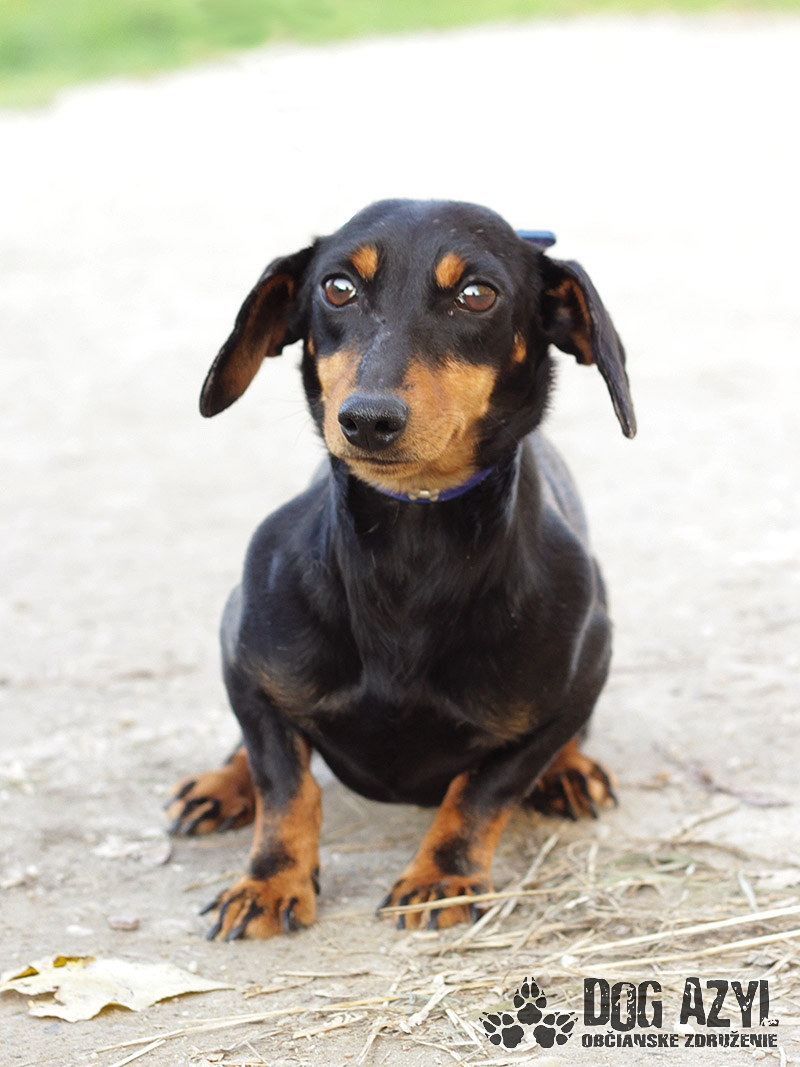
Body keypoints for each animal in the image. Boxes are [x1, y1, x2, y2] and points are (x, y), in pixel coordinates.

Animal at [164, 199, 636, 940]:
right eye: (337, 287)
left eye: (477, 294)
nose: (368, 419)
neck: (408, 553)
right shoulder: (243, 659)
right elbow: (284, 783)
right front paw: (269, 880)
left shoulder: (582, 677)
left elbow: (484, 790)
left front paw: (442, 876)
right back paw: (221, 784)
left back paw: (569, 772)